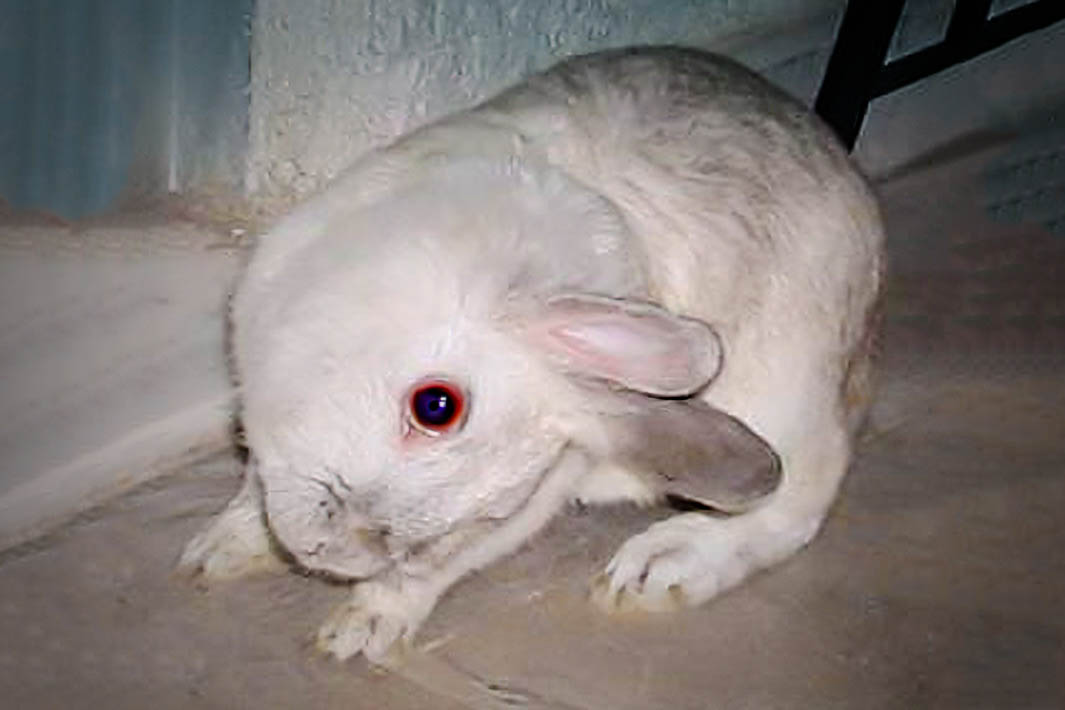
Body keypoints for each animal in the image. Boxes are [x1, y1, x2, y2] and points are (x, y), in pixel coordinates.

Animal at [178, 46, 883, 664]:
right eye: (437, 406)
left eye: (491, 513)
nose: (323, 551)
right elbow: (251, 485)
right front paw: (216, 551)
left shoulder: (544, 494)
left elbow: (431, 573)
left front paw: (360, 630)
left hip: (784, 394)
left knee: (800, 502)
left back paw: (657, 568)